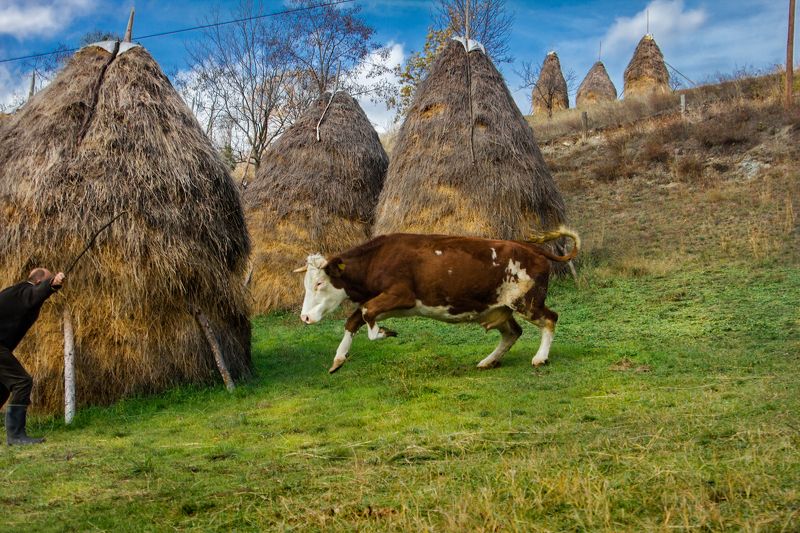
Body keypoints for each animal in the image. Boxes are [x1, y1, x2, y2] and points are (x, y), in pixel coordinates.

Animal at [294, 228, 580, 374]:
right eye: (307, 284)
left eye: (319, 283)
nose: (304, 317)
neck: (377, 258)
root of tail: (533, 249)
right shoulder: (391, 303)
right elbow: (356, 318)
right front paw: (339, 357)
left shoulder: (401, 295)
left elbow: (365, 314)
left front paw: (385, 333)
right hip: (498, 308)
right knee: (512, 333)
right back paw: (488, 360)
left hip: (527, 301)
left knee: (550, 319)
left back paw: (540, 357)